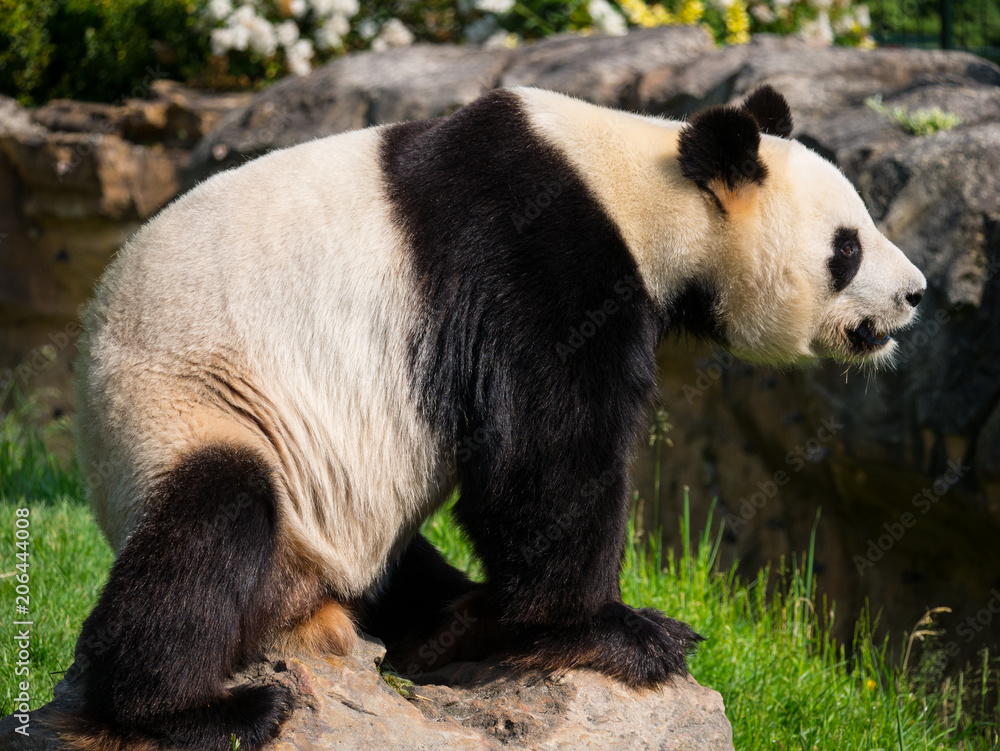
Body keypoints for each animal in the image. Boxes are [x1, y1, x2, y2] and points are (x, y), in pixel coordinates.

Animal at [60, 84, 925, 750]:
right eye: (848, 246)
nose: (915, 292)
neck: (642, 185)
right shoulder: (535, 256)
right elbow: (545, 451)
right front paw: (619, 631)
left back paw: (449, 622)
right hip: (197, 409)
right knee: (212, 528)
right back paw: (200, 707)